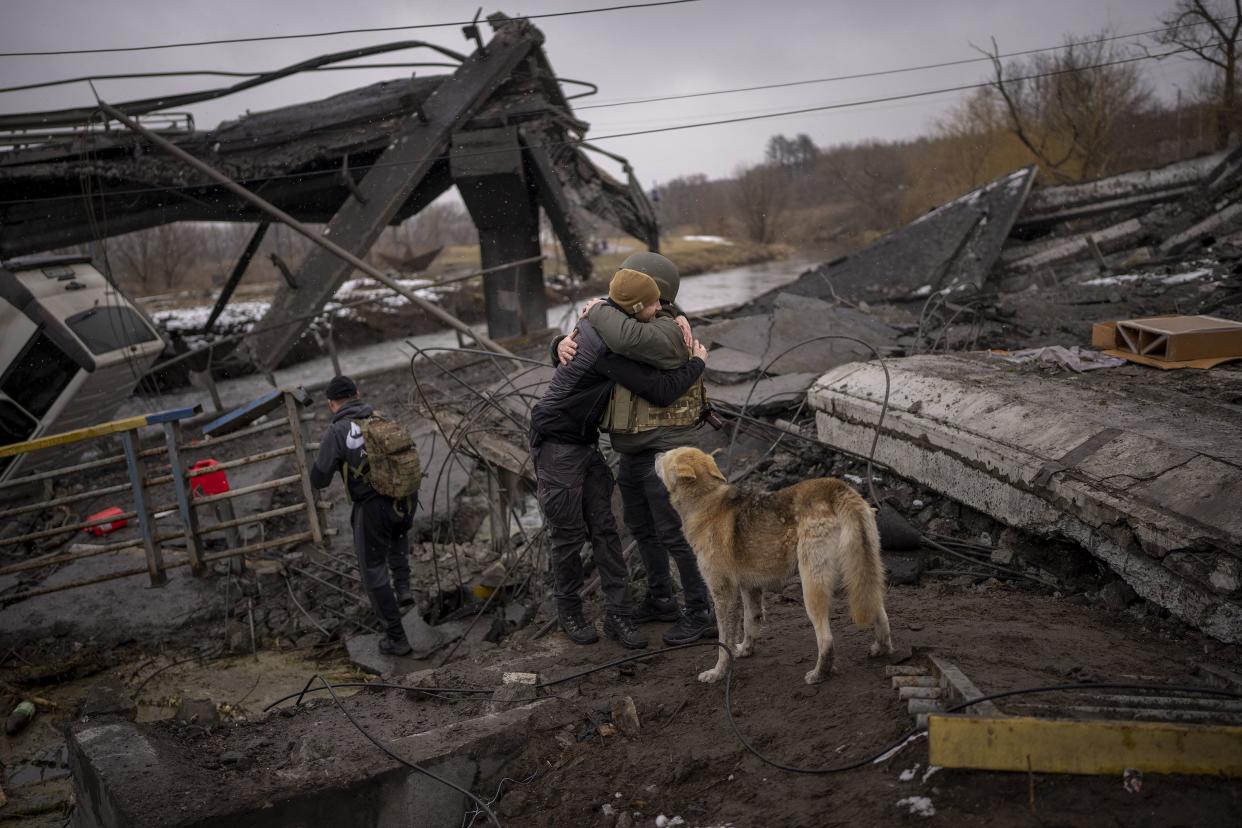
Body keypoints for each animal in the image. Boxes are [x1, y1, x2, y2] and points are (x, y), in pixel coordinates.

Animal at [655, 449, 889, 685]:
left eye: (666, 455)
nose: (656, 454)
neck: (705, 501)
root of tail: (835, 488)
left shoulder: (723, 593)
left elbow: (724, 641)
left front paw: (718, 672)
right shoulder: (750, 587)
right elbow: (750, 623)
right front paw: (745, 650)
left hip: (812, 588)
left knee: (826, 639)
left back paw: (819, 674)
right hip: (860, 573)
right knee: (879, 611)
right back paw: (881, 648)